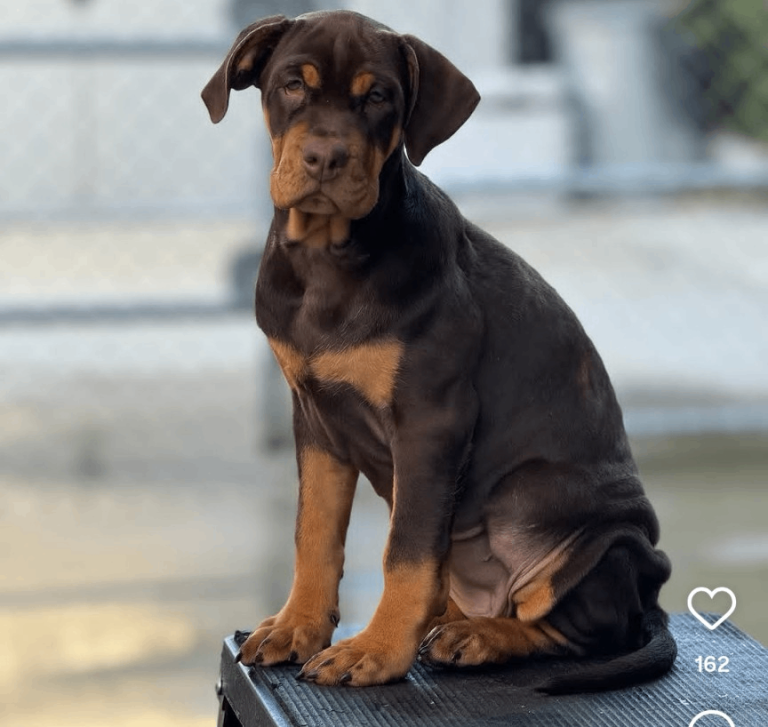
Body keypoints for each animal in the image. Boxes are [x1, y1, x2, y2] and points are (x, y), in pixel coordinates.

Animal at [202, 10, 676, 691]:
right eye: (292, 85)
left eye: (378, 97)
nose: (324, 158)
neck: (327, 256)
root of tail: (652, 596)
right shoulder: (315, 418)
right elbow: (312, 532)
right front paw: (297, 627)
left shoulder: (432, 418)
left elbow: (406, 550)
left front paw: (374, 651)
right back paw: (456, 622)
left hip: (555, 513)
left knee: (582, 627)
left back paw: (483, 636)